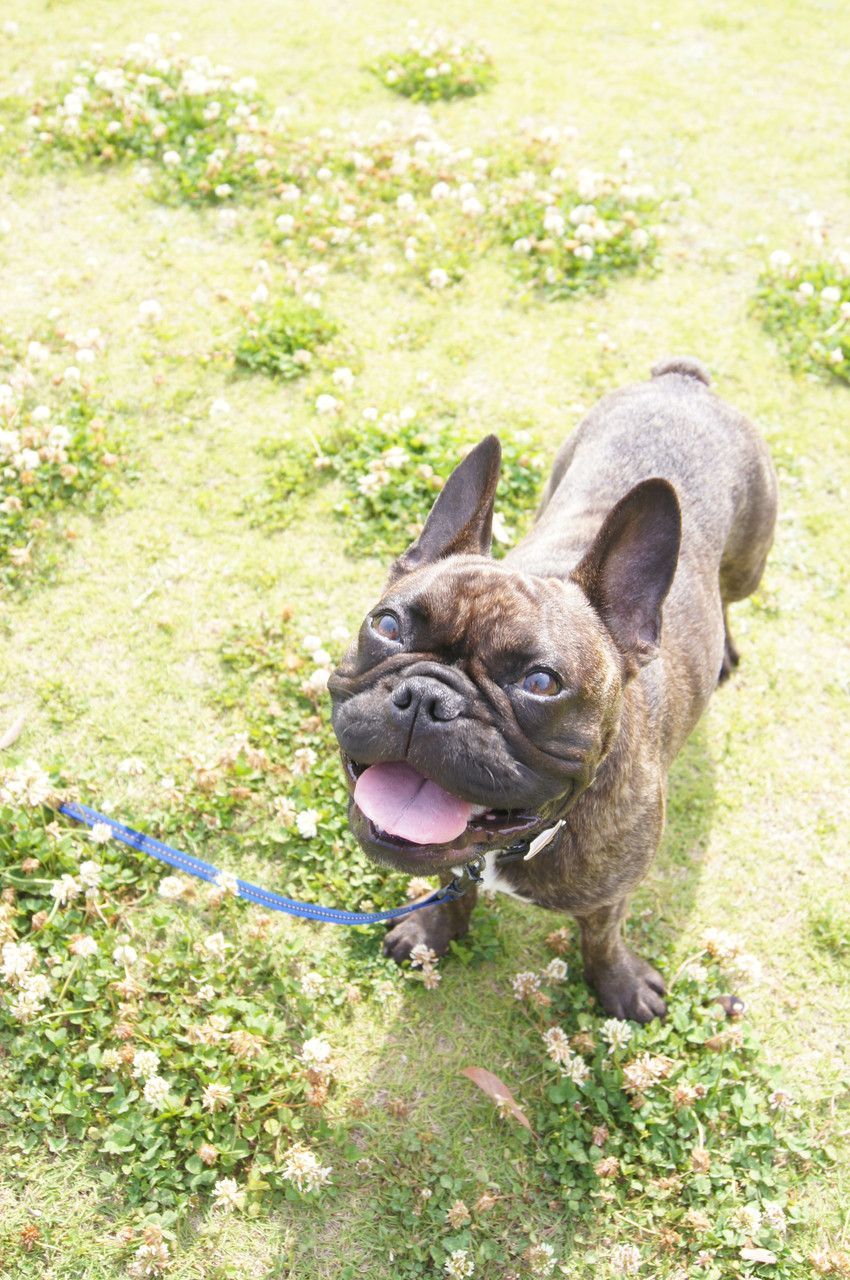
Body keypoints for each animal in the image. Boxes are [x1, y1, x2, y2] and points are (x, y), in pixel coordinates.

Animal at [328, 358, 777, 1022]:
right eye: (386, 625)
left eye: (541, 683)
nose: (429, 697)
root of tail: (683, 380)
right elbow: (451, 888)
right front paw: (433, 934)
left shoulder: (610, 896)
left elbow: (602, 938)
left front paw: (619, 986)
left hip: (749, 563)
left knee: (731, 594)